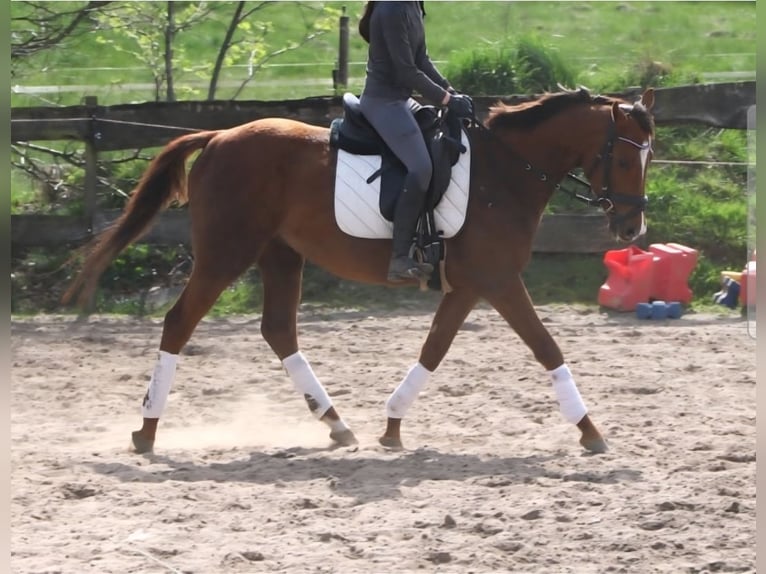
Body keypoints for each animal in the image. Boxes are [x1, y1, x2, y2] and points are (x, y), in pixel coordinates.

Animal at [63, 87, 655, 455]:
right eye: (627, 159)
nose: (632, 228)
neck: (506, 171)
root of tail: (216, 137)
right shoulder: (499, 281)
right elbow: (547, 347)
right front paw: (590, 431)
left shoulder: (468, 286)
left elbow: (434, 349)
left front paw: (392, 426)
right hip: (225, 255)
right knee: (179, 323)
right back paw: (146, 432)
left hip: (281, 255)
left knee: (279, 331)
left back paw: (337, 424)